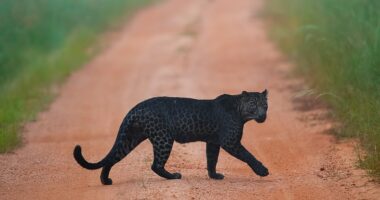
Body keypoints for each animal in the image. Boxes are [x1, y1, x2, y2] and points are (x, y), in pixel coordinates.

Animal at [74, 90, 268, 185]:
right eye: (253, 104)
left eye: (265, 105)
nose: (263, 115)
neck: (240, 111)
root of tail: (137, 107)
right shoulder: (230, 142)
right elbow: (248, 156)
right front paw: (262, 170)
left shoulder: (212, 142)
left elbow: (211, 159)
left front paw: (214, 176)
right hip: (163, 139)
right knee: (155, 165)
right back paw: (174, 176)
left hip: (130, 138)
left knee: (113, 157)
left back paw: (105, 180)